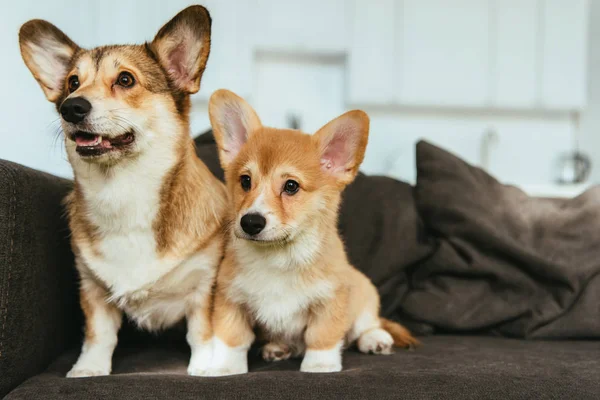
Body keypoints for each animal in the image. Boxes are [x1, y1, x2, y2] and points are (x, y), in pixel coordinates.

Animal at [19, 5, 227, 378]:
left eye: (126, 79)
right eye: (73, 82)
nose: (71, 107)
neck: (122, 191)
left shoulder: (206, 285)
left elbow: (201, 332)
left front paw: (205, 366)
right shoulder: (91, 287)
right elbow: (99, 334)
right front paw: (89, 369)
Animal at [206, 90, 418, 376]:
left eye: (291, 186)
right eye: (245, 181)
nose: (250, 222)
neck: (278, 256)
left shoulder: (329, 300)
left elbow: (322, 336)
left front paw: (319, 366)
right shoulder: (231, 299)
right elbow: (232, 338)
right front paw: (225, 368)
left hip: (363, 291)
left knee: (367, 325)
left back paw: (375, 339)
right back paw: (278, 347)